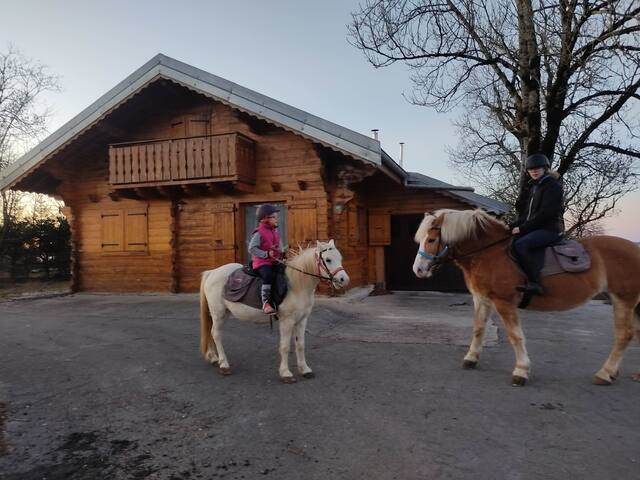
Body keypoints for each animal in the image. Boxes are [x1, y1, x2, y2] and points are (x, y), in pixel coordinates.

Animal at [200, 240, 350, 382]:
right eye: (328, 259)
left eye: (340, 257)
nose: (344, 280)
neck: (296, 285)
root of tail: (212, 272)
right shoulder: (287, 322)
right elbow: (284, 347)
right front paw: (286, 373)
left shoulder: (302, 320)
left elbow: (300, 345)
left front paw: (305, 370)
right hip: (219, 314)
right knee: (216, 334)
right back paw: (224, 364)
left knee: (212, 332)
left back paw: (214, 358)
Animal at [412, 210, 636, 386]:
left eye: (431, 240)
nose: (418, 270)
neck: (489, 253)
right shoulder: (481, 299)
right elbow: (478, 329)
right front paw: (471, 358)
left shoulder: (504, 303)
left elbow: (515, 336)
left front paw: (521, 370)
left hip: (624, 300)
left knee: (624, 336)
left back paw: (605, 374)